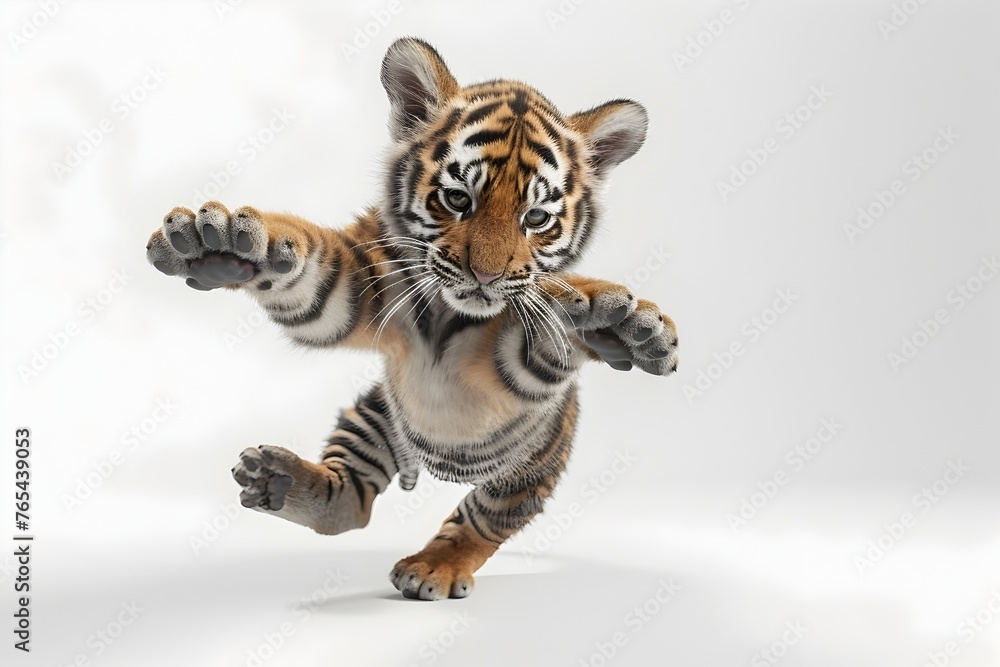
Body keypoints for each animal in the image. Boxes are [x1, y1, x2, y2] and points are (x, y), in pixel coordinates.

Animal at [145, 37, 678, 600]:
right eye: (457, 199)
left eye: (535, 218)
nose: (486, 276)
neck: (449, 314)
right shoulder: (352, 288)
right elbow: (304, 266)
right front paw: (223, 240)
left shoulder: (526, 369)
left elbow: (551, 325)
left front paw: (620, 322)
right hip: (375, 415)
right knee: (349, 503)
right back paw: (275, 478)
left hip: (528, 468)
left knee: (480, 520)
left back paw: (430, 568)